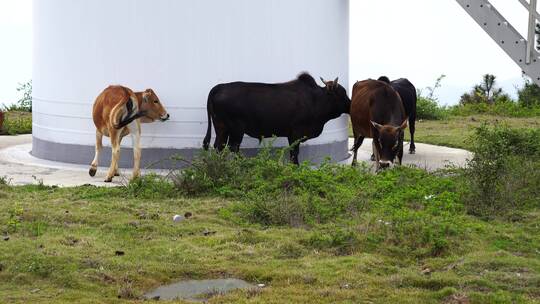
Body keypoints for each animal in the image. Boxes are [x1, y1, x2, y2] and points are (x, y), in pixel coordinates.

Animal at [202, 73, 350, 164]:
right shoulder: (296, 133)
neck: (315, 99)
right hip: (236, 128)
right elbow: (294, 152)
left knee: (219, 146)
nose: (350, 105)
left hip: (221, 127)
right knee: (233, 147)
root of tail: (220, 86)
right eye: (342, 93)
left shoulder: (291, 135)